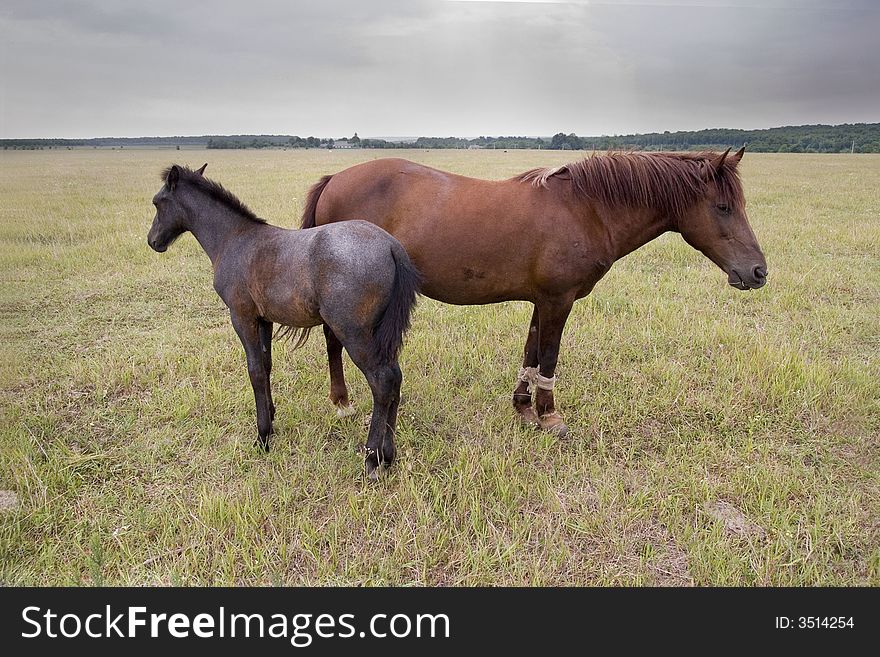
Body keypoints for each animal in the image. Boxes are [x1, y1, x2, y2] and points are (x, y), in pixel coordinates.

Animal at [300, 149, 764, 436]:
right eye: (723, 207)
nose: (758, 272)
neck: (586, 208)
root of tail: (334, 179)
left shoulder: (542, 300)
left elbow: (531, 351)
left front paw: (523, 408)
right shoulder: (559, 300)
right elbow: (550, 354)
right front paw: (549, 415)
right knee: (333, 341)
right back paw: (342, 402)